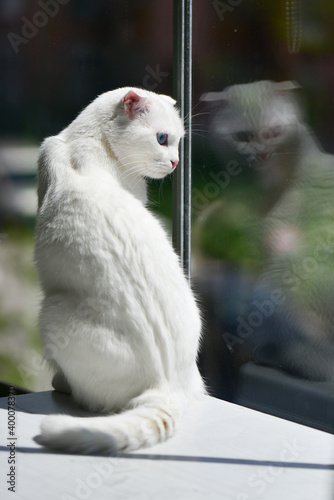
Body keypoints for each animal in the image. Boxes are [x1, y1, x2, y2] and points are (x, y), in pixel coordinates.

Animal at [35, 88, 205, 456]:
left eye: (178, 143)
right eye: (162, 139)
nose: (176, 162)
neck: (88, 141)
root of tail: (166, 385)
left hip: (50, 312)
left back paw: (62, 384)